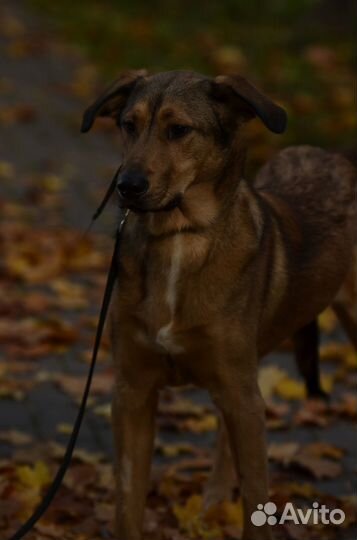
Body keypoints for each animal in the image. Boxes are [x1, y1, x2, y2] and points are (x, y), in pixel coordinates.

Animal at [81, 71, 356, 540]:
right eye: (128, 125)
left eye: (178, 130)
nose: (127, 187)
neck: (180, 236)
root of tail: (338, 157)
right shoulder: (132, 393)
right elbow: (127, 505)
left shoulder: (242, 398)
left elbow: (256, 500)